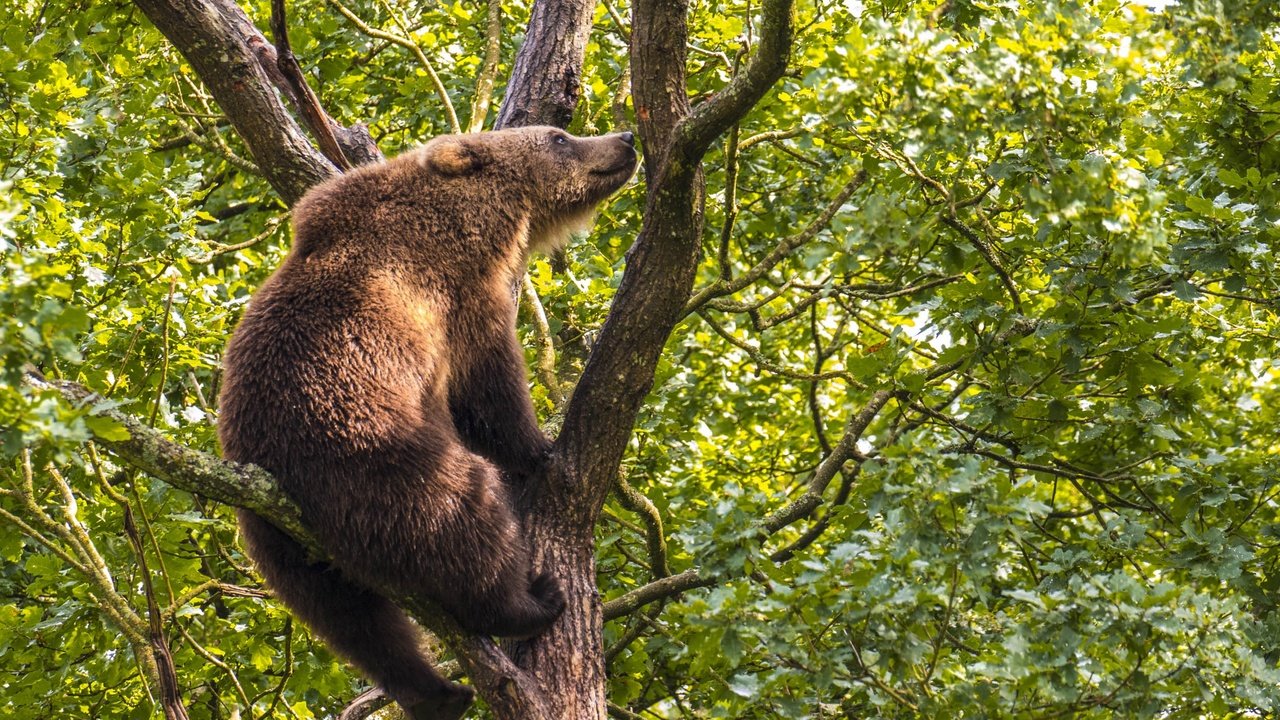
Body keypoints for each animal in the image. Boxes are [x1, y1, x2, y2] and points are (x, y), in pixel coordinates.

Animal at [218, 127, 640, 717]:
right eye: (559, 138)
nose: (625, 138)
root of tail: (285, 475)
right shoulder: (460, 296)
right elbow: (488, 387)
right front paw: (539, 447)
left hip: (276, 540)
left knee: (352, 620)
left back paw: (439, 693)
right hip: (383, 456)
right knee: (464, 519)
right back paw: (530, 601)